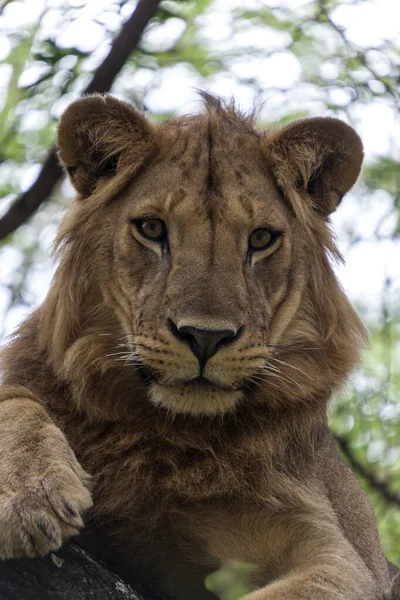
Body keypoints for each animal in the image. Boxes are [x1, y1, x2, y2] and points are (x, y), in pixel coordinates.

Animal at [0, 95, 394, 600]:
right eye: (152, 228)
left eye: (261, 238)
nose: (206, 336)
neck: (165, 435)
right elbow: (15, 400)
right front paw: (30, 495)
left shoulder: (346, 559)